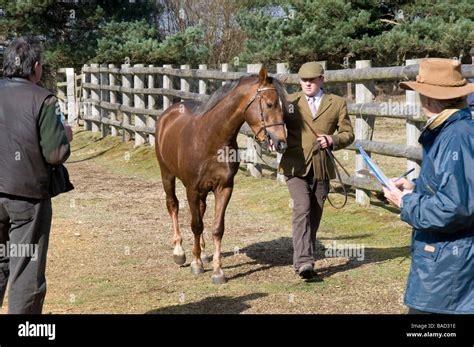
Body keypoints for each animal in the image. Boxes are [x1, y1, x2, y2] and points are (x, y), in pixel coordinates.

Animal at [157, 68, 286, 286]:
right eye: (269, 104)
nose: (281, 143)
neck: (211, 138)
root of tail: (168, 114)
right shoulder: (191, 188)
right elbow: (196, 224)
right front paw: (196, 264)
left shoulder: (224, 188)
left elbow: (217, 228)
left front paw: (217, 271)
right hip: (167, 175)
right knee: (173, 205)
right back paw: (180, 252)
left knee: (200, 210)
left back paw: (203, 252)